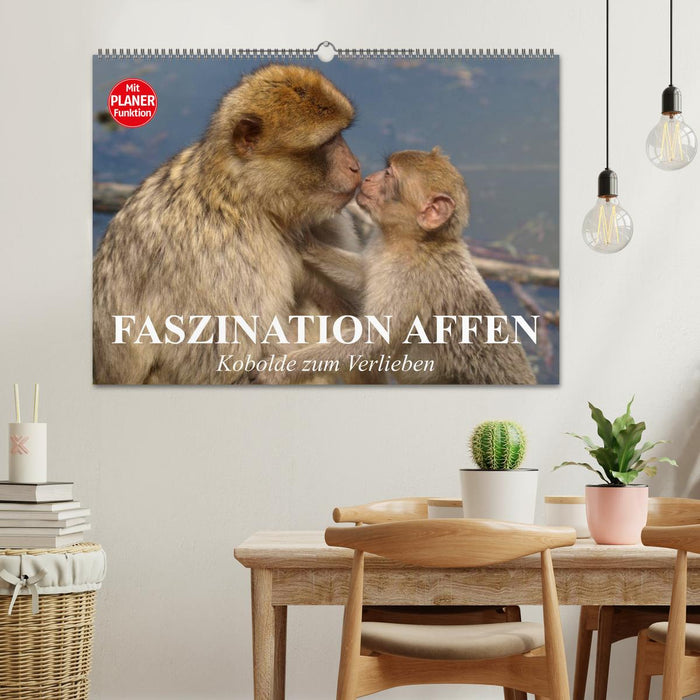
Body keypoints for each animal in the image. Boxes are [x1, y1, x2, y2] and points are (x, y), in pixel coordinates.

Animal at [93, 64, 362, 384]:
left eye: (341, 135)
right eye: (328, 142)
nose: (355, 166)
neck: (247, 198)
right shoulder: (226, 256)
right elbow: (225, 366)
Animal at [255, 148, 537, 385]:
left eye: (389, 174)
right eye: (386, 168)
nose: (367, 177)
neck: (413, 242)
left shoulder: (409, 280)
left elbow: (371, 340)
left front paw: (280, 370)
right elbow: (363, 275)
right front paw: (306, 242)